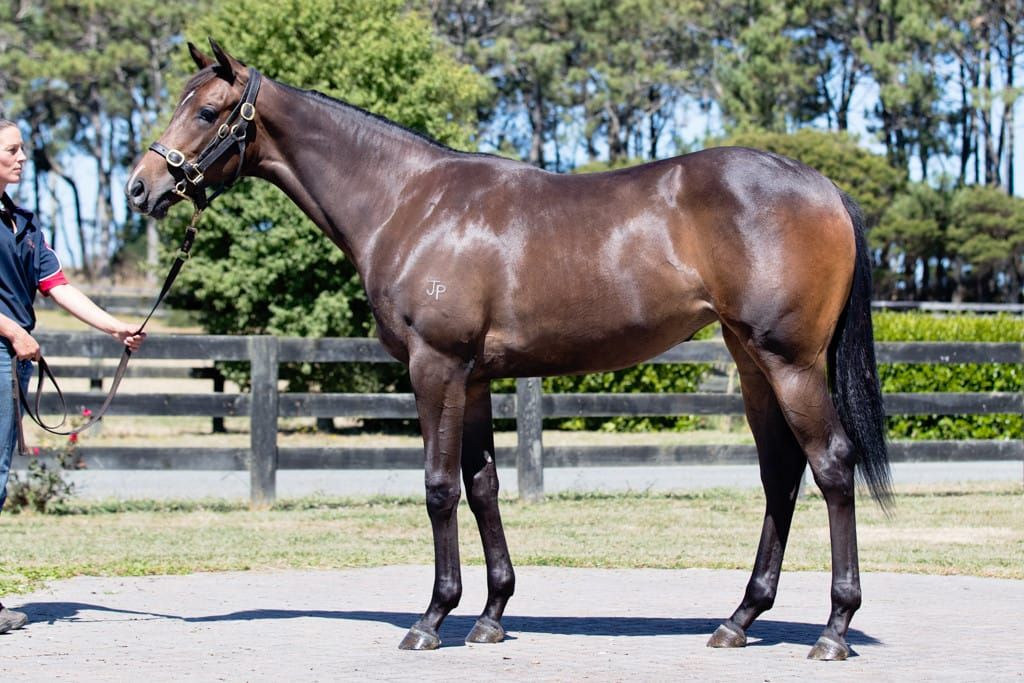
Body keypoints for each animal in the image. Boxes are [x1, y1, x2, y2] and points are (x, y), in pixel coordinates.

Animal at [126, 40, 892, 661]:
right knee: (780, 475)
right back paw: (739, 618)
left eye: (208, 110)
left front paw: (432, 618)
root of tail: (824, 186)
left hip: (790, 363)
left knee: (831, 466)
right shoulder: (474, 378)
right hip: (752, 363)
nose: (141, 187)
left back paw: (834, 629)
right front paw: (490, 614)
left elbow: (439, 488)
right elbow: (483, 485)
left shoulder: (435, 366)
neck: (409, 201)